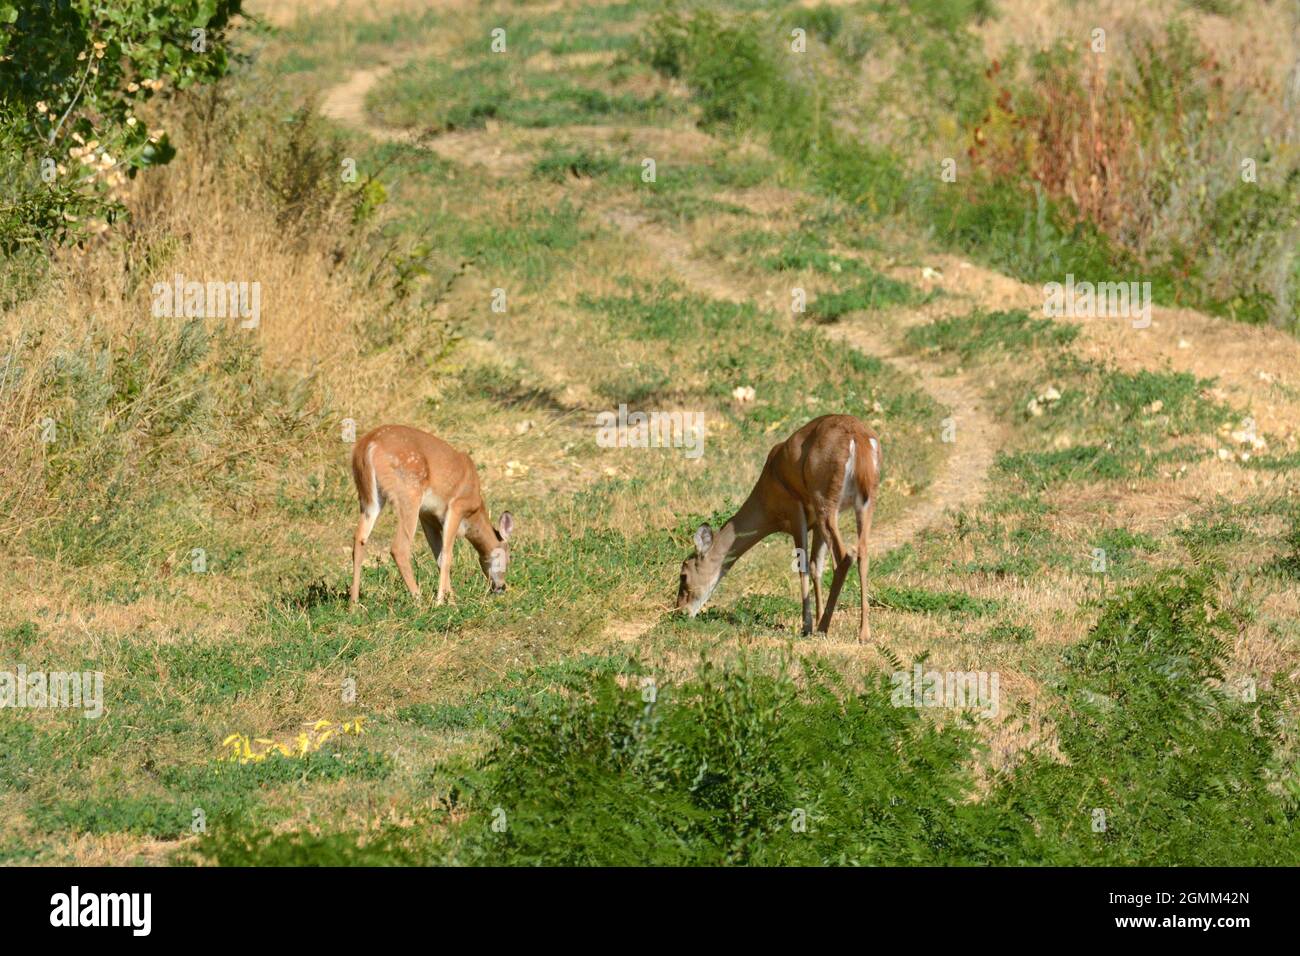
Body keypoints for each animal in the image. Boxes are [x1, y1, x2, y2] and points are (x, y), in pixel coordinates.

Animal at [349, 424, 514, 608]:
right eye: (509, 558)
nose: (501, 587)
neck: (474, 512)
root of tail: (368, 445)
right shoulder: (457, 506)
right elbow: (447, 556)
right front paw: (442, 601)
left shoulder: (427, 516)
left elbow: (439, 557)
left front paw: (451, 598)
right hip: (409, 492)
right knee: (399, 547)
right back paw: (418, 599)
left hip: (369, 499)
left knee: (359, 539)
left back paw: (354, 604)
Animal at [675, 414, 881, 641]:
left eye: (683, 575)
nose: (680, 611)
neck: (767, 505)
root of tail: (858, 437)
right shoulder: (815, 524)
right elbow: (816, 566)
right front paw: (816, 618)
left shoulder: (794, 509)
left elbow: (803, 566)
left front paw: (807, 625)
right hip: (865, 500)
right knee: (863, 552)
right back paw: (863, 632)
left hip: (825, 499)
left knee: (845, 556)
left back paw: (823, 628)